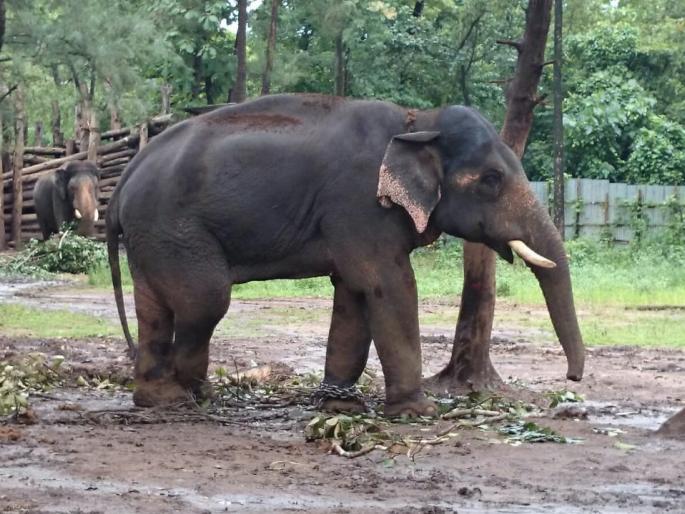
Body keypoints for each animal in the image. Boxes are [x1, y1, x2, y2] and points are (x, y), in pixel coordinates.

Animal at [107, 93, 585, 417]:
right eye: (491, 180)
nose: (573, 379)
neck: (418, 119)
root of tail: (127, 174)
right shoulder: (359, 204)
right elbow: (389, 284)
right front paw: (418, 412)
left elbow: (354, 292)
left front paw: (340, 406)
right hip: (174, 229)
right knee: (205, 300)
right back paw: (191, 394)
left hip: (153, 236)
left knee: (155, 308)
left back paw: (158, 398)